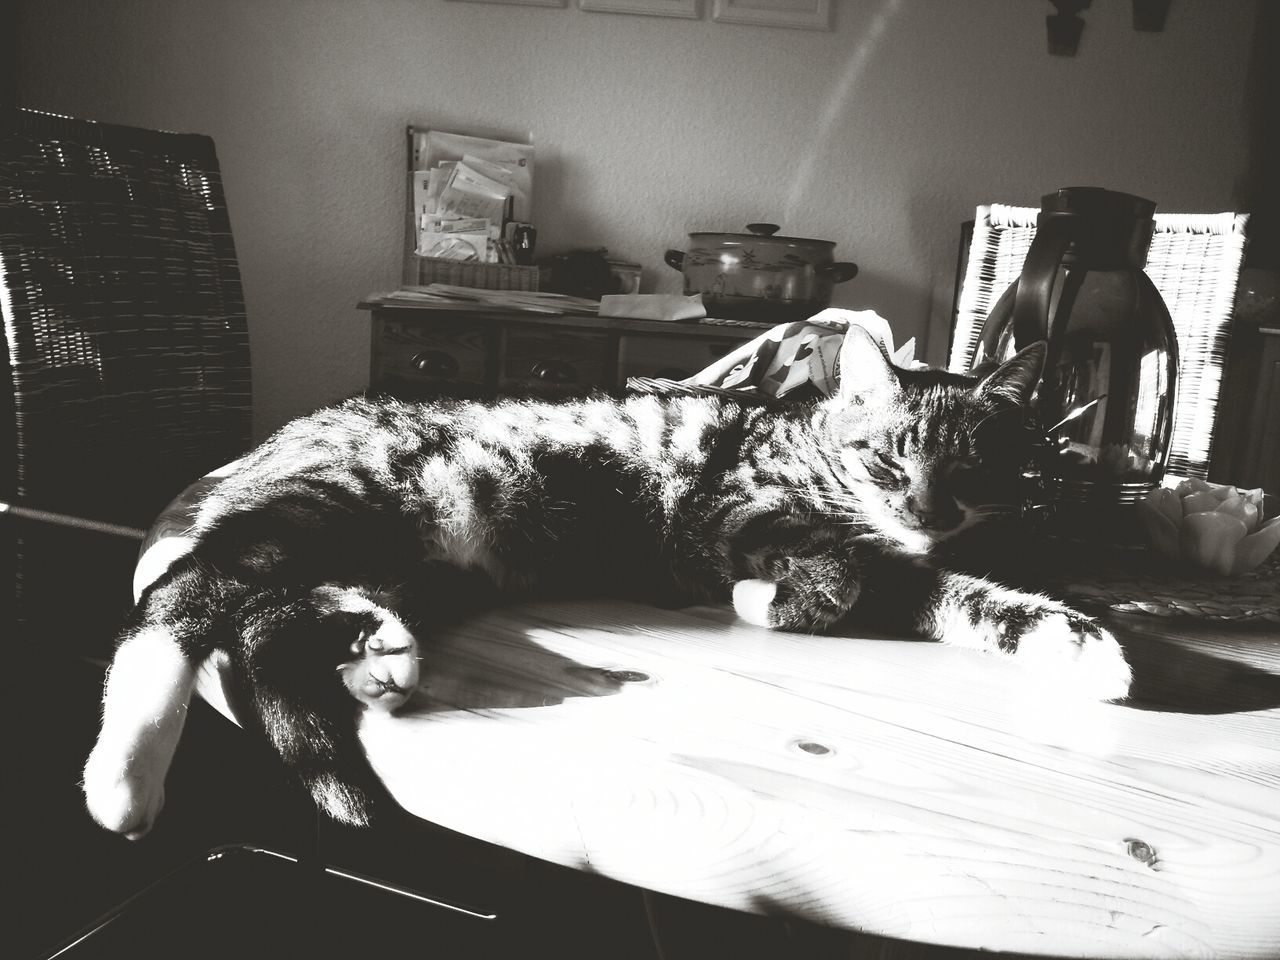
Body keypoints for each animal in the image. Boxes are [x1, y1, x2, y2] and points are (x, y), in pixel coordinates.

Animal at [82, 332, 1131, 839]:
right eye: (886, 457)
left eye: (975, 471)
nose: (928, 511)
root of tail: (278, 438)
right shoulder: (733, 510)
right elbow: (826, 574)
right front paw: (764, 600)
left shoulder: (907, 571)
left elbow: (973, 599)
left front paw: (1088, 649)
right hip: (341, 501)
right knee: (179, 600)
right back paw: (124, 777)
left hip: (406, 557)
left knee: (264, 621)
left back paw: (377, 655)